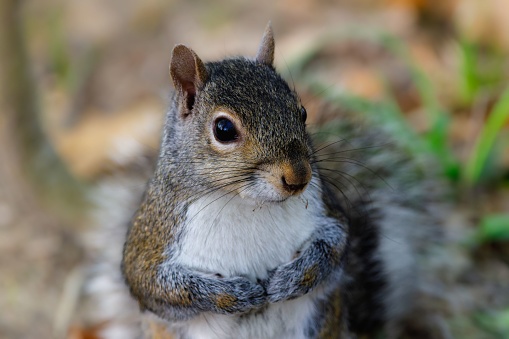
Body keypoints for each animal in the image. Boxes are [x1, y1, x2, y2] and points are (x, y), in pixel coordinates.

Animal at [121, 24, 442, 339]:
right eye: (223, 129)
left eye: (302, 112)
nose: (299, 176)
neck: (248, 203)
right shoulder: (156, 236)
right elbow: (155, 285)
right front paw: (234, 295)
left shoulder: (327, 213)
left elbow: (336, 243)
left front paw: (293, 279)